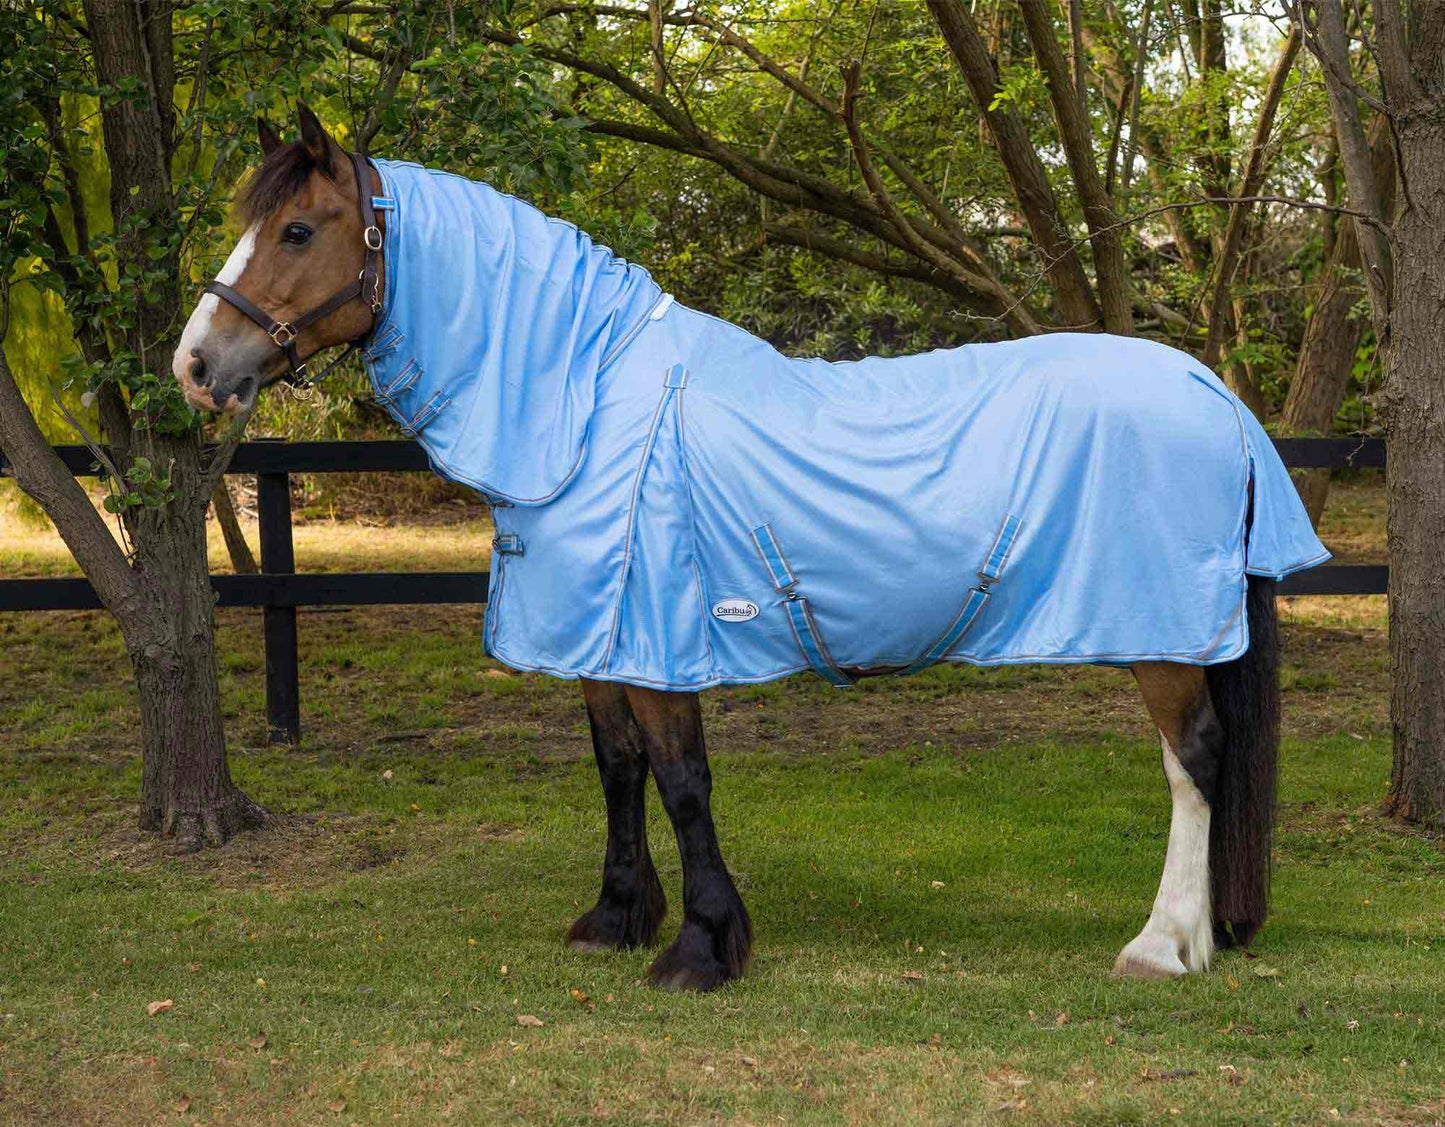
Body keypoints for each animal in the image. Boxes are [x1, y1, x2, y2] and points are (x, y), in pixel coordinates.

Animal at [171, 105, 1328, 991]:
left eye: (297, 230)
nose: (196, 363)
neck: (588, 397)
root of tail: (1209, 390)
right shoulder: (600, 636)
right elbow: (619, 769)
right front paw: (615, 916)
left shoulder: (658, 636)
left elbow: (684, 781)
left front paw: (700, 946)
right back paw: (1201, 935)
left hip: (1161, 635)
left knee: (1195, 763)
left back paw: (1161, 945)